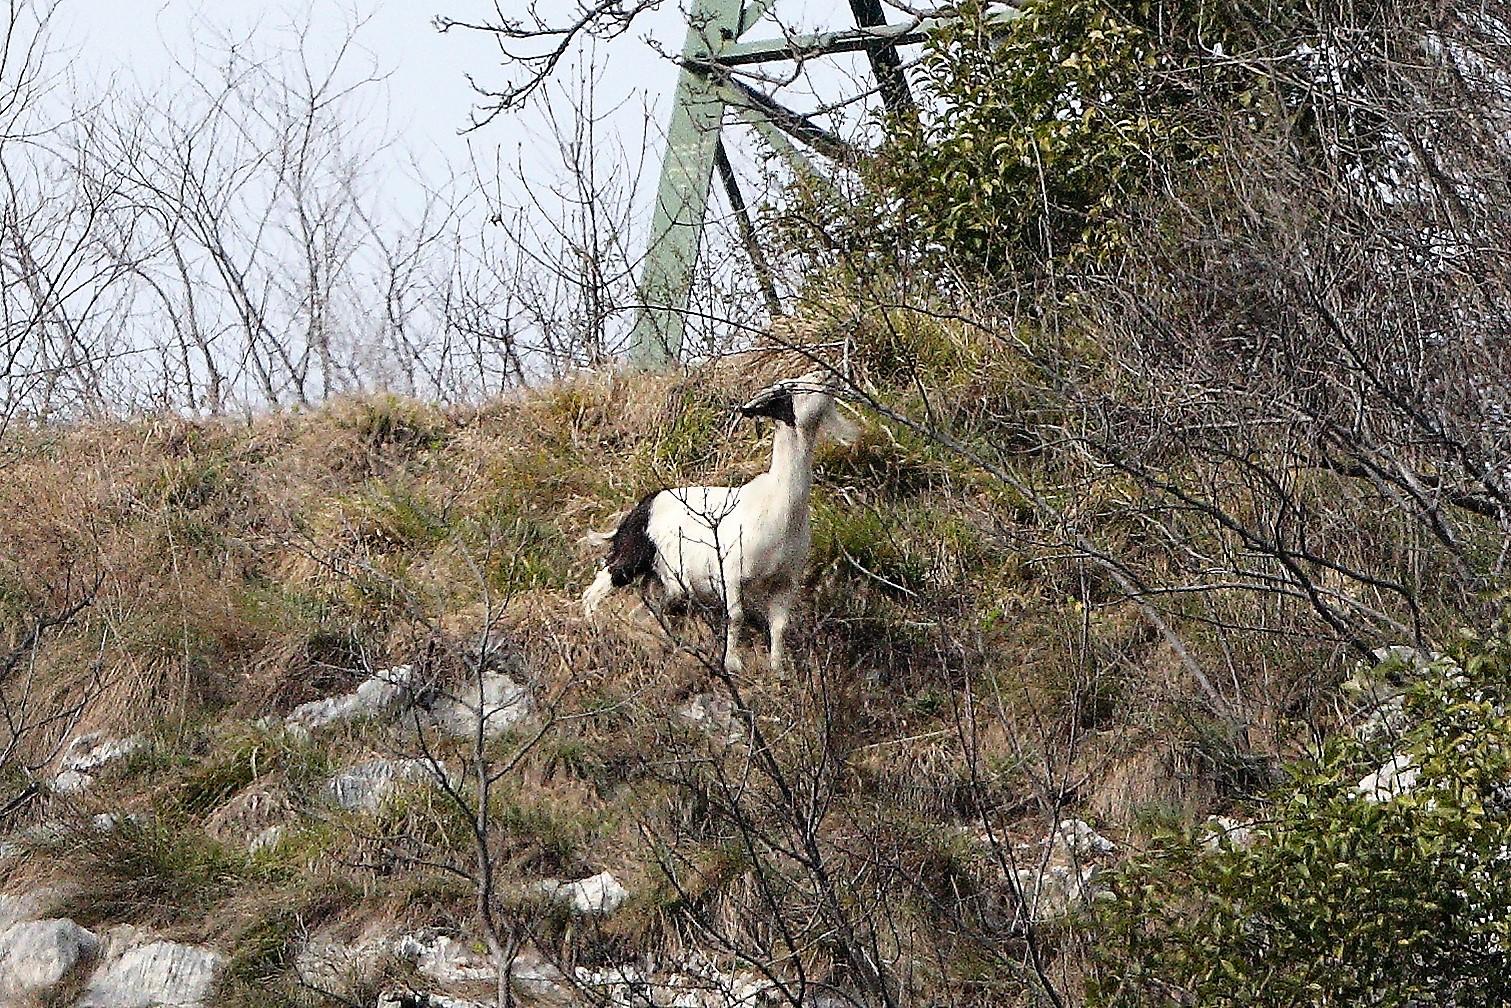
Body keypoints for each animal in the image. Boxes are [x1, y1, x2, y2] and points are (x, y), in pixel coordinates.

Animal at [581, 370, 856, 673]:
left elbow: (779, 626)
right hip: (631, 557)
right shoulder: (731, 574)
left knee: (653, 607)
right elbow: (735, 617)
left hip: (662, 579)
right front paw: (732, 664)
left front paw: (778, 670)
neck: (778, 503)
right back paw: (593, 628)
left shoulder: (785, 582)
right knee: (595, 590)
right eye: (789, 388)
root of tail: (639, 510)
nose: (827, 374)